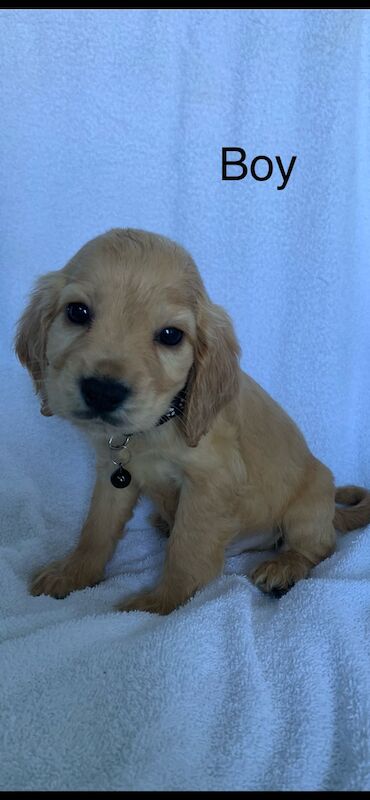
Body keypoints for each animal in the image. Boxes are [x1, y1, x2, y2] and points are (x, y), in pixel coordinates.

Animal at [15, 228, 370, 616]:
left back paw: (283, 567)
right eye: (77, 312)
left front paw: (160, 602)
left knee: (319, 548)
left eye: (171, 335)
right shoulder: (113, 473)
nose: (103, 392)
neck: (153, 428)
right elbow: (97, 527)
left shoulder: (210, 482)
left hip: (308, 505)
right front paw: (72, 573)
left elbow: (188, 548)